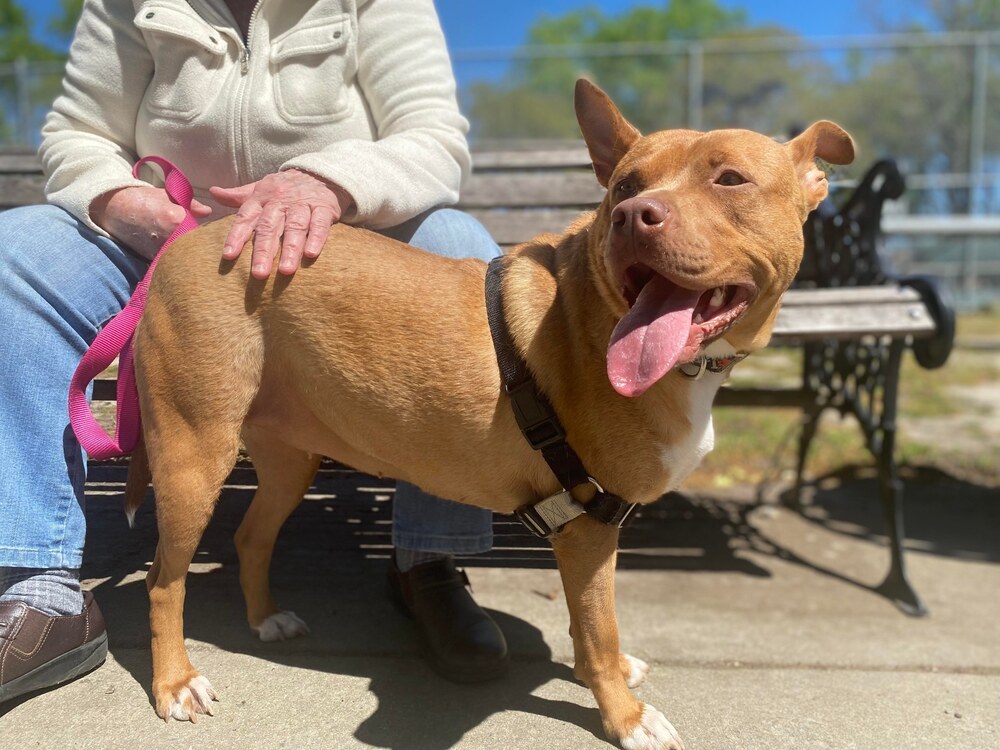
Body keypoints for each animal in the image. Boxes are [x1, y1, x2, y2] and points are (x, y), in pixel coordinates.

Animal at [127, 79, 852, 748]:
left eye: (730, 179)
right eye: (624, 185)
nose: (633, 215)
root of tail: (191, 236)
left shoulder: (592, 529)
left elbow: (595, 624)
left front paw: (615, 675)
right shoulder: (591, 525)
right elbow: (598, 627)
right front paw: (625, 717)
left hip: (288, 461)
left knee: (251, 537)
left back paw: (264, 620)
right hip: (194, 456)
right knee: (163, 581)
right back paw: (175, 682)